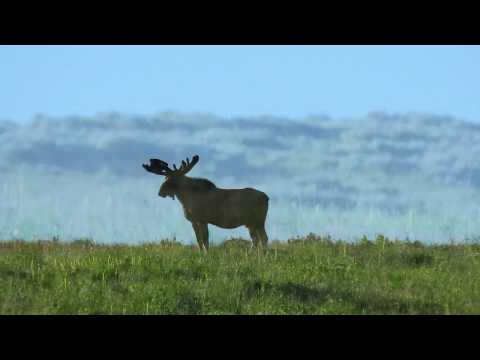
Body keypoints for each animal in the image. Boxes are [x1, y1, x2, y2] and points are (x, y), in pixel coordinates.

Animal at [142, 154, 270, 250]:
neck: (185, 199)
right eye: (165, 178)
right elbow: (199, 240)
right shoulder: (193, 221)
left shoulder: (202, 219)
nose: (160, 192)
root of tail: (267, 198)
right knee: (257, 239)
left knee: (263, 238)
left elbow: (205, 240)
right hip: (251, 223)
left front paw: (206, 255)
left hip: (258, 220)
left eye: (173, 179)